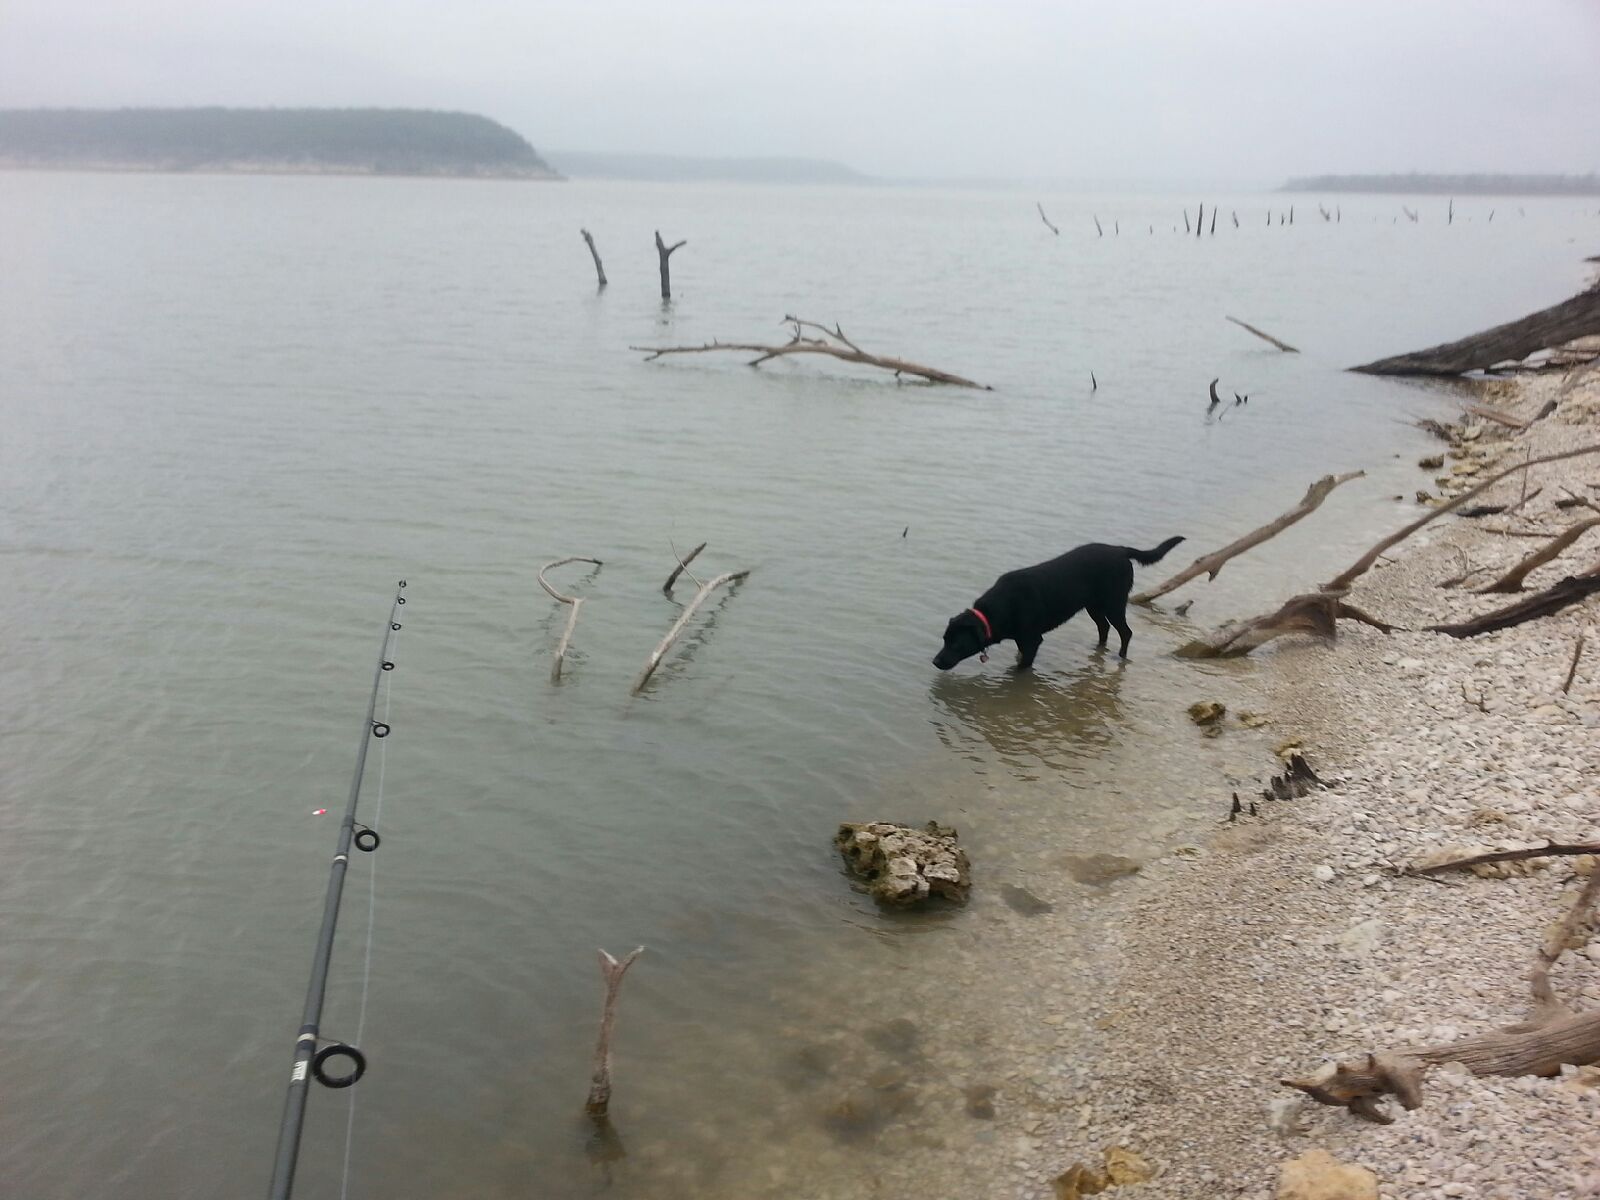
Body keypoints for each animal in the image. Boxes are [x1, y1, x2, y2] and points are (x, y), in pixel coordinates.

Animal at [934, 540, 1184, 672]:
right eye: (944, 639)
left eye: (956, 643)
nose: (935, 661)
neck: (1001, 608)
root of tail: (1120, 549)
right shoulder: (1022, 640)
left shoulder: (1032, 640)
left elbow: (1022, 666)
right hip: (1093, 606)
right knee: (1104, 628)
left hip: (1114, 603)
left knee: (1125, 631)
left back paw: (1120, 657)